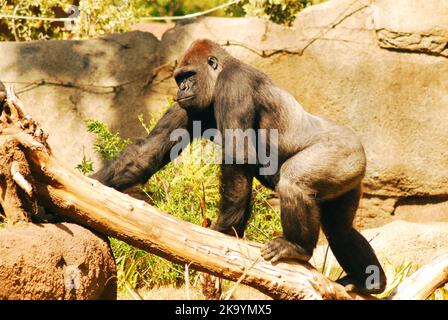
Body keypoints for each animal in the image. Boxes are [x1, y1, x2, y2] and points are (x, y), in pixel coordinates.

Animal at [91, 39, 384, 292]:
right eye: (179, 79)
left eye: (189, 76)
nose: (181, 90)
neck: (218, 74)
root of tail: (360, 149)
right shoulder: (187, 106)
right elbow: (146, 153)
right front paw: (91, 185)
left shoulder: (234, 84)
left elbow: (238, 156)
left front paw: (224, 231)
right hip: (350, 173)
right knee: (340, 231)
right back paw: (371, 281)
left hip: (343, 152)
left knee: (295, 183)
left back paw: (297, 247)